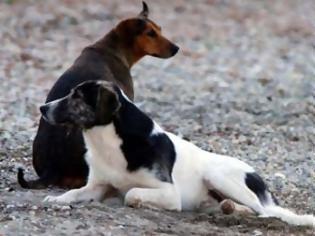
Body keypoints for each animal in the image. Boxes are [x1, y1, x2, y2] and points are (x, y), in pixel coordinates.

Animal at [42, 80, 315, 227]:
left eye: (77, 96)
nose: (42, 108)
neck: (109, 140)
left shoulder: (170, 192)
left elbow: (131, 193)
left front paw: (138, 202)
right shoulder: (98, 186)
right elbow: (75, 192)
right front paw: (57, 199)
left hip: (218, 175)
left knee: (264, 210)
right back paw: (229, 209)